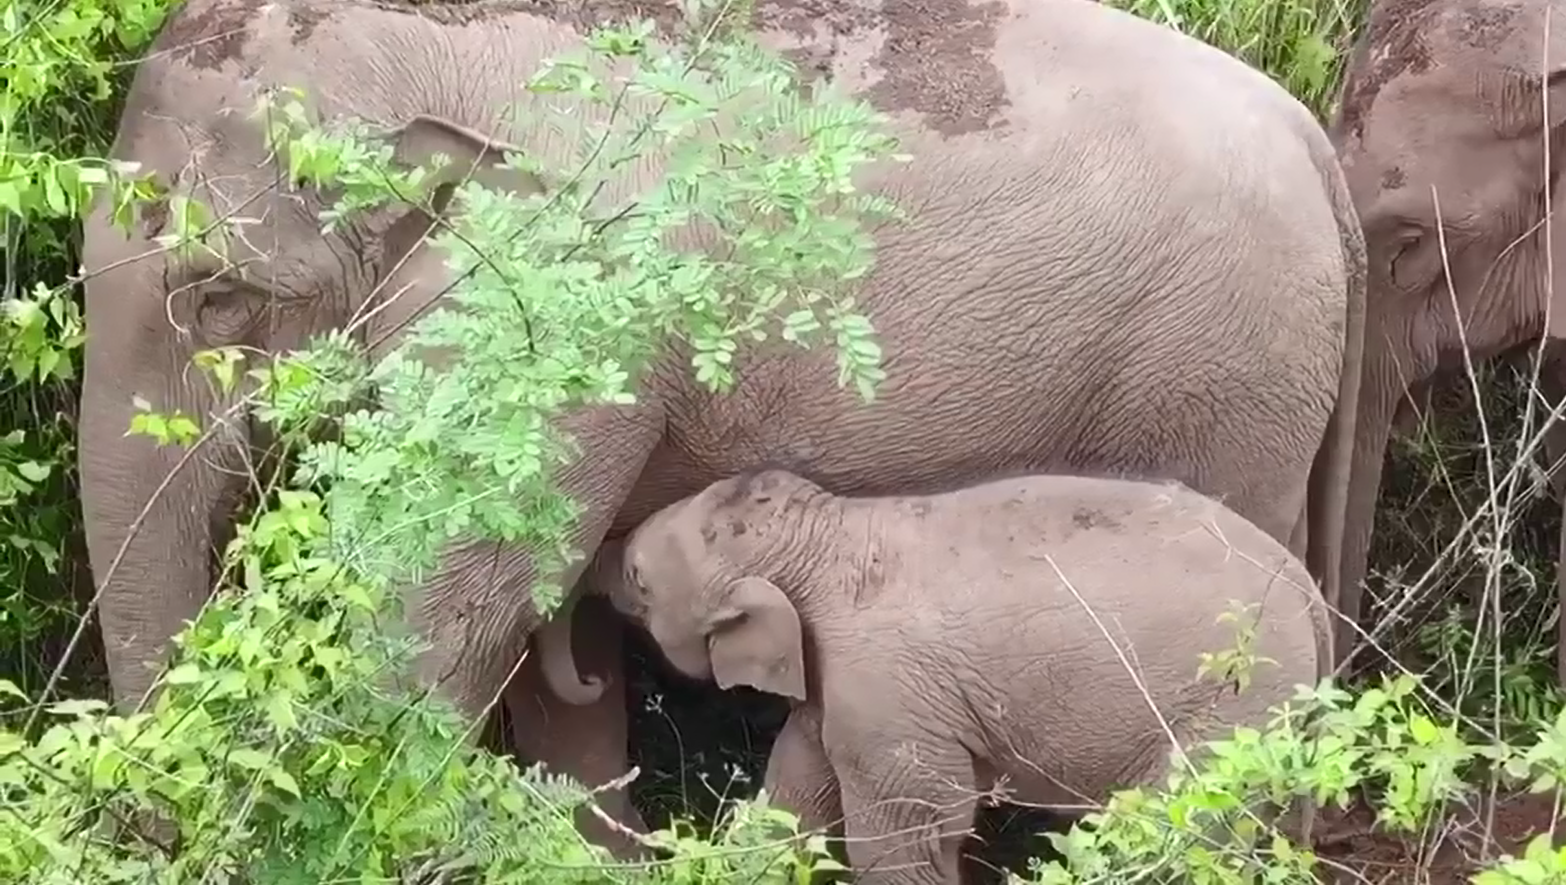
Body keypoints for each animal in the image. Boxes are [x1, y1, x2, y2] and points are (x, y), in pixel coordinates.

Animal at [598, 466, 1334, 877]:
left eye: (638, 579)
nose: (596, 569)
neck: (831, 532)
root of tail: (1308, 587)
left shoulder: (885, 685)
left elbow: (906, 834)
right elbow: (793, 799)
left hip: (1236, 696)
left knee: (1186, 823)